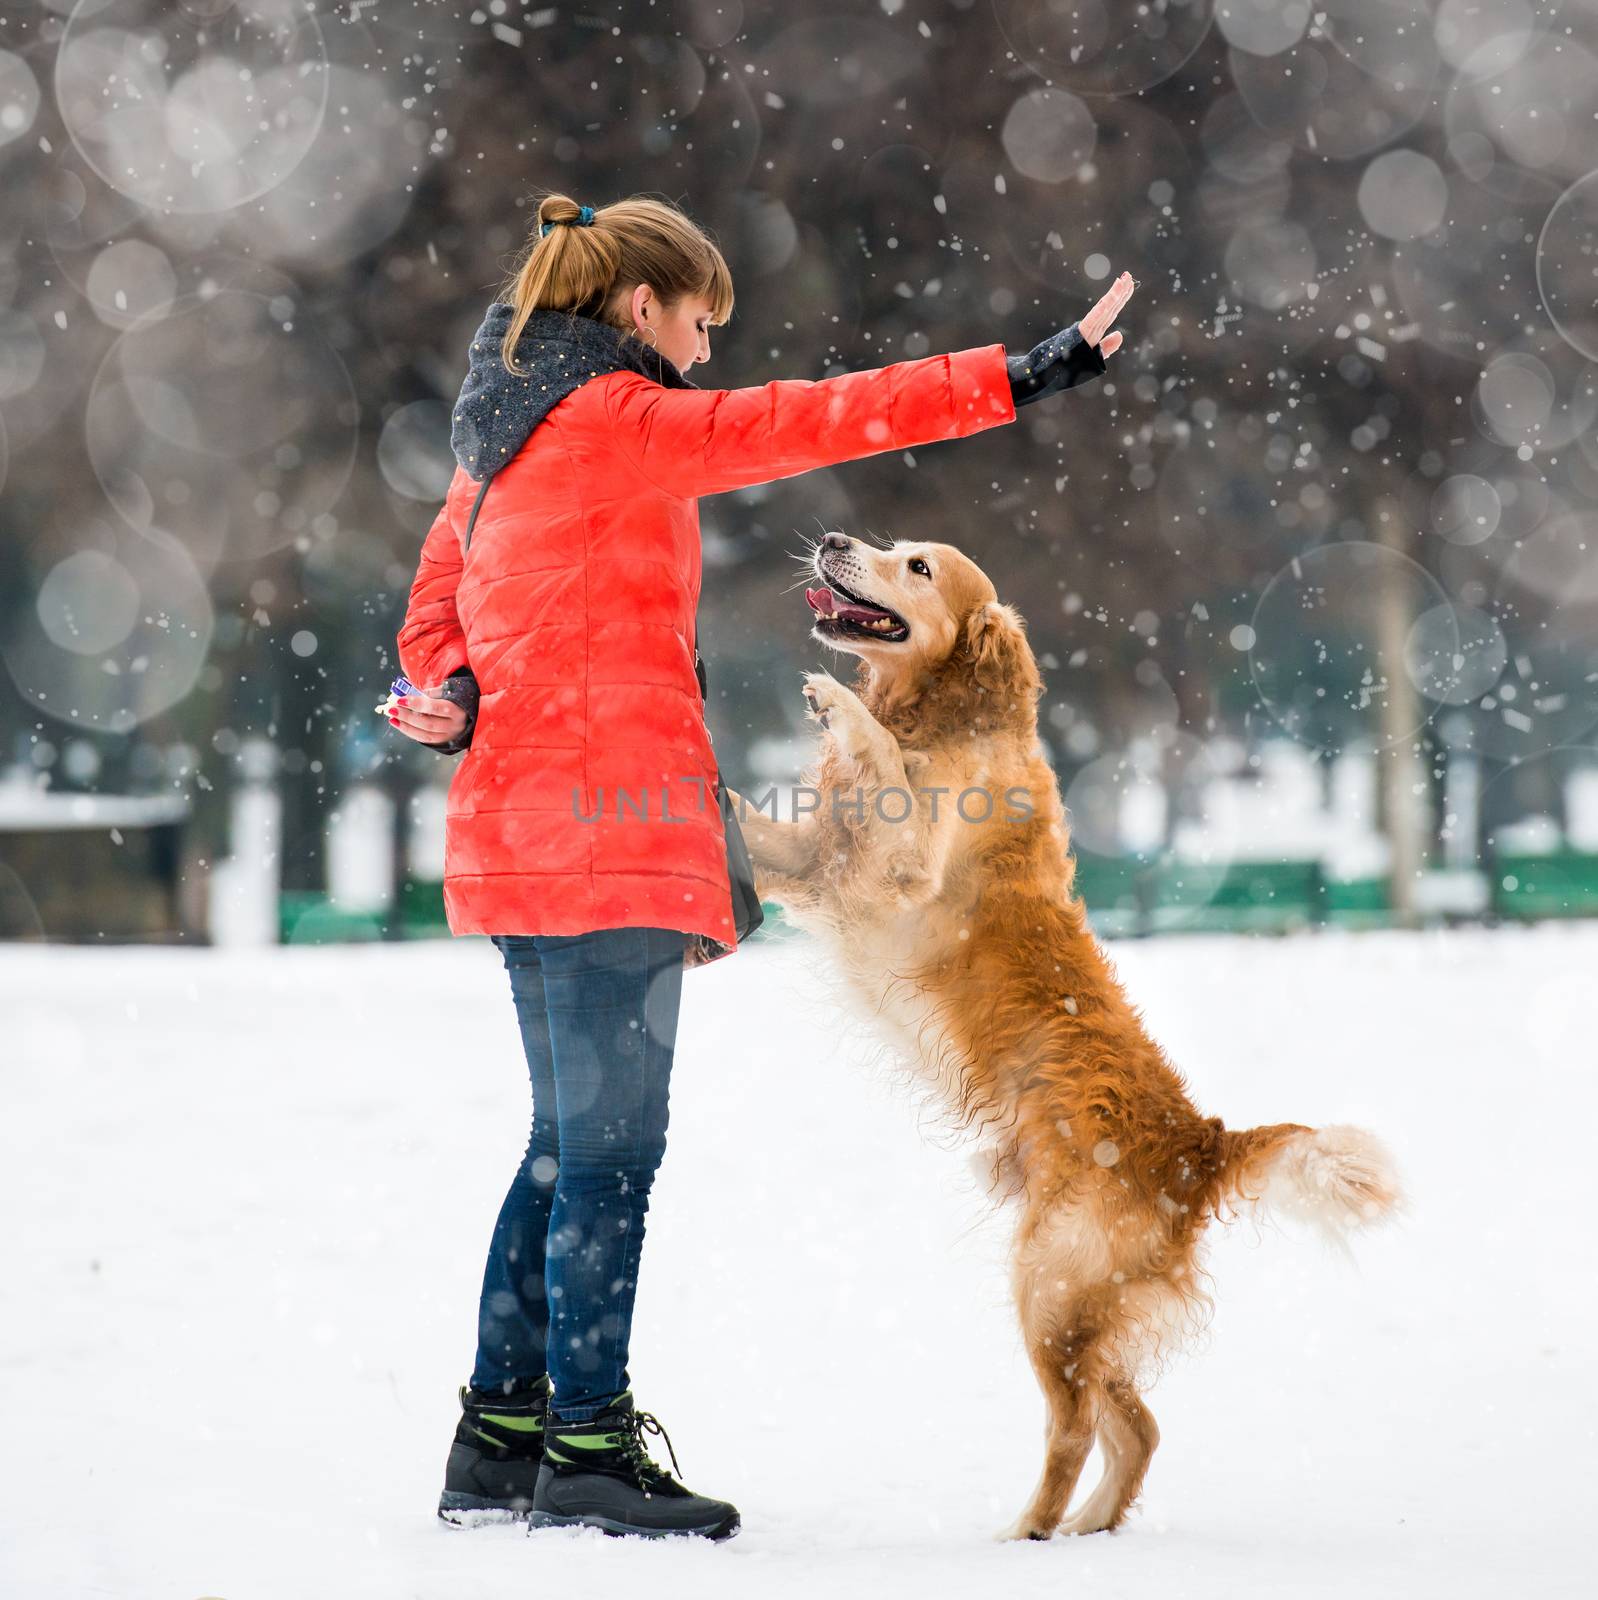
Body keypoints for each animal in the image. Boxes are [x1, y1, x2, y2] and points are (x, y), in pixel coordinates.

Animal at [732, 531, 1407, 1542]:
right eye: (888, 545)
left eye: (917, 566)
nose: (837, 541)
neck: (938, 715)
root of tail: (1199, 1146)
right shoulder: (818, 863)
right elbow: (747, 821)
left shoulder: (899, 864)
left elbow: (881, 765)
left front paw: (835, 703)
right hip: (1085, 1310)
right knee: (1136, 1425)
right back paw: (1089, 1527)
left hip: (1046, 1284)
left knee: (1075, 1428)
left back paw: (1027, 1533)